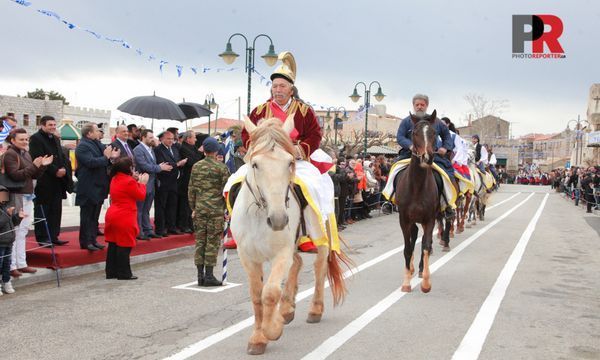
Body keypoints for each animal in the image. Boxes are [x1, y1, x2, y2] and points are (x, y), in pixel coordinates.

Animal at [231, 114, 352, 354]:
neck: (260, 215)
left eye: (289, 162)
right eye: (255, 164)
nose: (278, 219)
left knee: (319, 267)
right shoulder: (247, 256)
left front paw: (272, 329)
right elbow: (257, 296)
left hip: (321, 236)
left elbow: (269, 293)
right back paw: (287, 308)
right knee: (298, 263)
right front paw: (258, 337)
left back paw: (314, 309)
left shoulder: (282, 253)